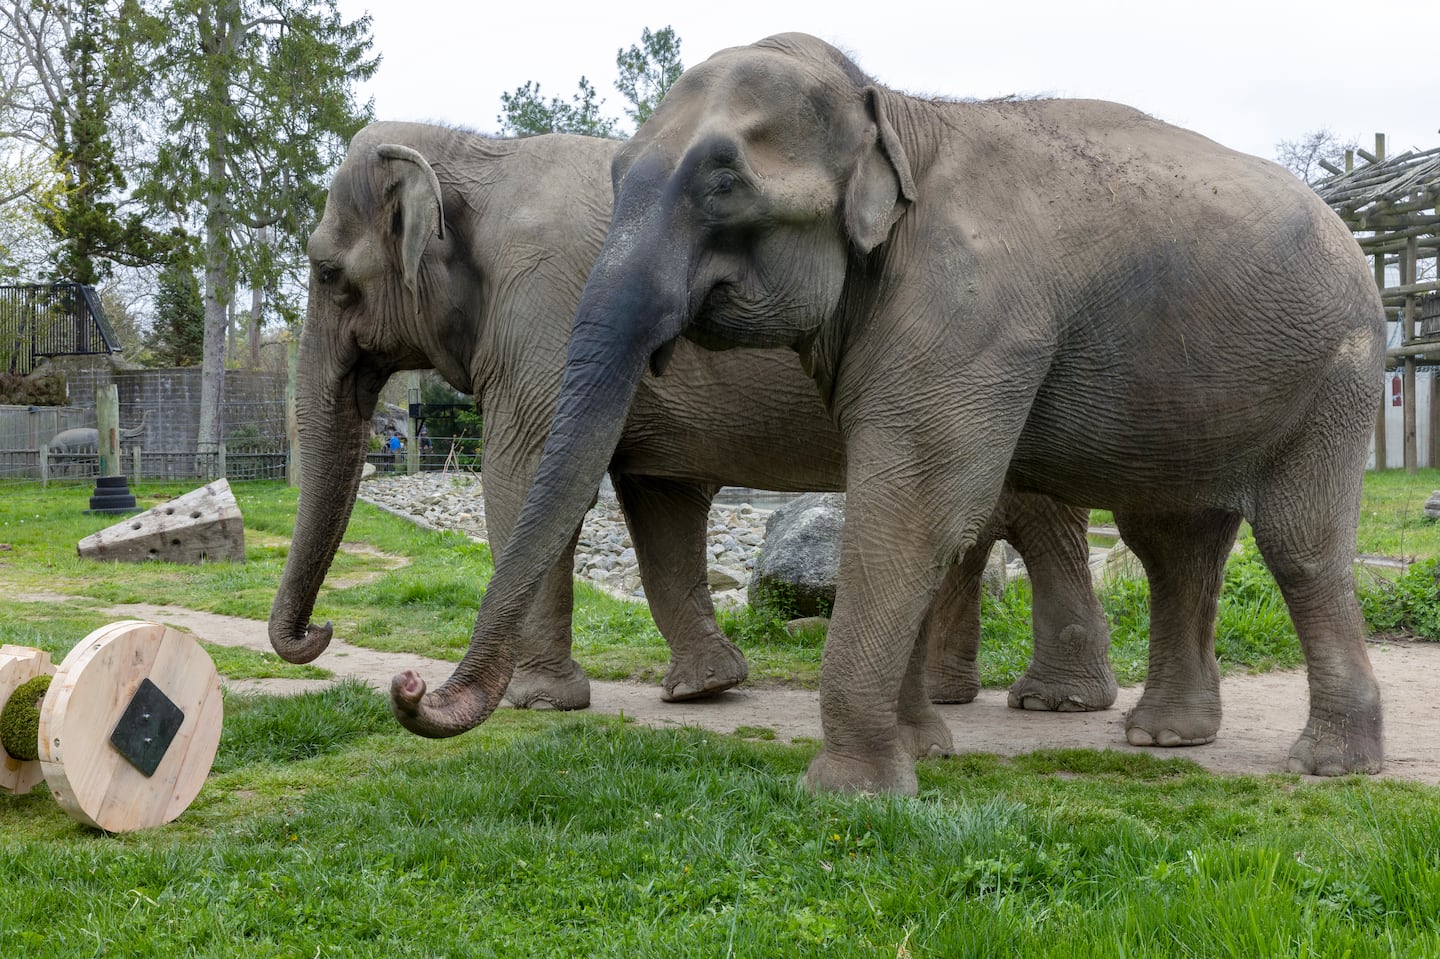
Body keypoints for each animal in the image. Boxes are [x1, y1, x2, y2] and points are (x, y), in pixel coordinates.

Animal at [264, 119, 1105, 714]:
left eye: (327, 273)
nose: (320, 632)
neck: (477, 150)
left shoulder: (543, 315)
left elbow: (525, 480)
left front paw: (540, 702)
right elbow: (658, 507)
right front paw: (706, 688)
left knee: (1034, 520)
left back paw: (1052, 701)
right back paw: (957, 698)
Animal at [391, 33, 1382, 789]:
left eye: (722, 183)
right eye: (619, 173)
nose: (407, 687)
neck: (894, 112)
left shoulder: (970, 312)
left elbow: (915, 504)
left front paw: (851, 791)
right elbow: (914, 512)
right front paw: (921, 753)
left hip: (1337, 372)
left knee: (1299, 543)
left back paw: (1328, 765)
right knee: (1174, 542)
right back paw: (1167, 736)